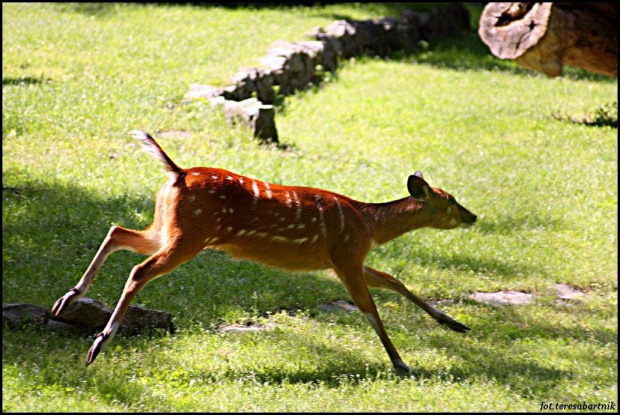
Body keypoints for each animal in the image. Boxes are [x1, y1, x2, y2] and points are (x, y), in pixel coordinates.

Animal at [53, 131, 480, 374]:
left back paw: (67, 299)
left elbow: (394, 280)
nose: (473, 215)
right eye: (450, 200)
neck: (369, 225)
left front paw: (454, 324)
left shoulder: (344, 258)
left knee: (117, 230)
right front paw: (402, 363)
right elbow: (370, 308)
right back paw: (98, 343)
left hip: (168, 227)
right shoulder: (345, 253)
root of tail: (177, 173)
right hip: (189, 236)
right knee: (139, 270)